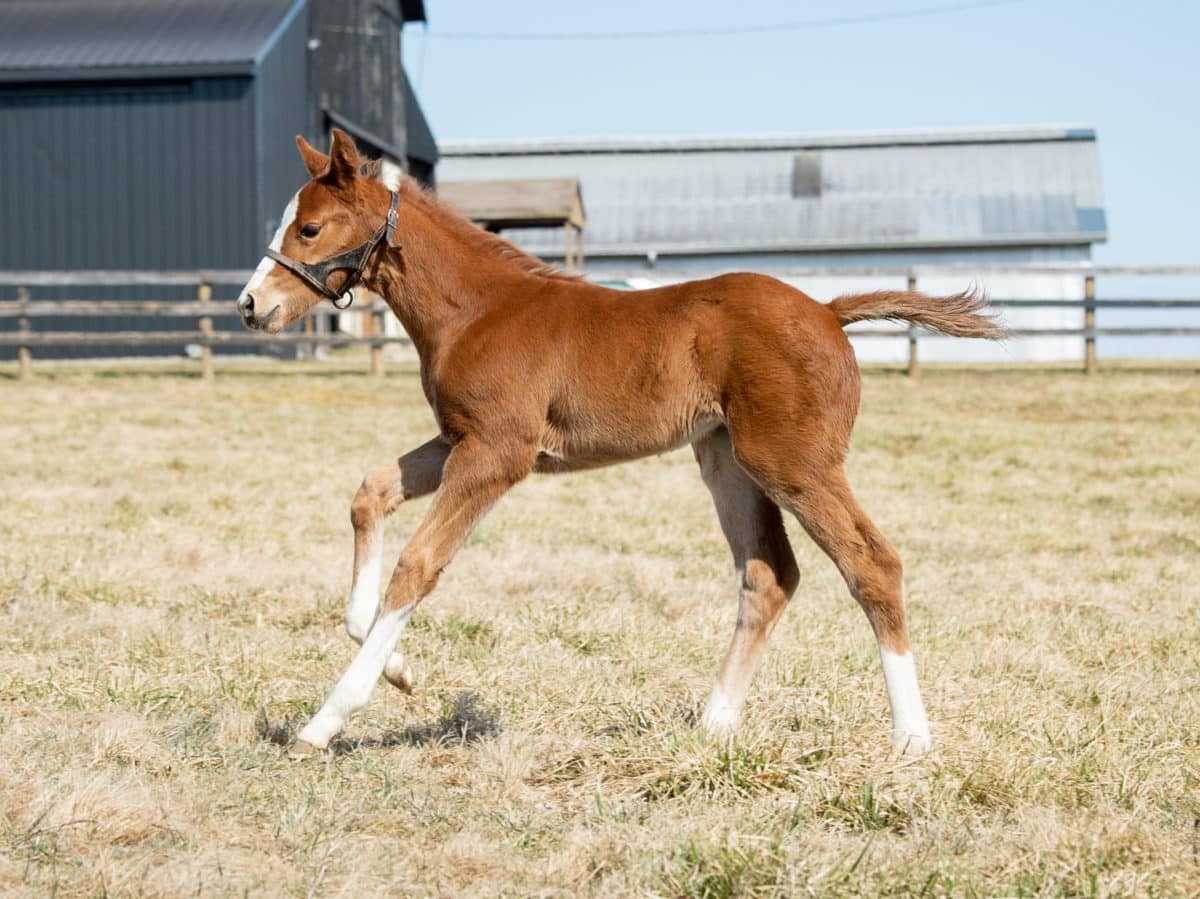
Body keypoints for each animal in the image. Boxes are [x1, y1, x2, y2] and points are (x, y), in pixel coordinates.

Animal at [234, 127, 1003, 758]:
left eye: (309, 228)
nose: (250, 305)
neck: (477, 308)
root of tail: (827, 308)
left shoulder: (498, 454)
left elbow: (418, 565)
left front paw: (326, 720)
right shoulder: (462, 439)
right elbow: (369, 493)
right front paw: (397, 667)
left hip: (792, 460)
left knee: (872, 562)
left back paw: (912, 737)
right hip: (725, 459)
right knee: (768, 575)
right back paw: (714, 724)